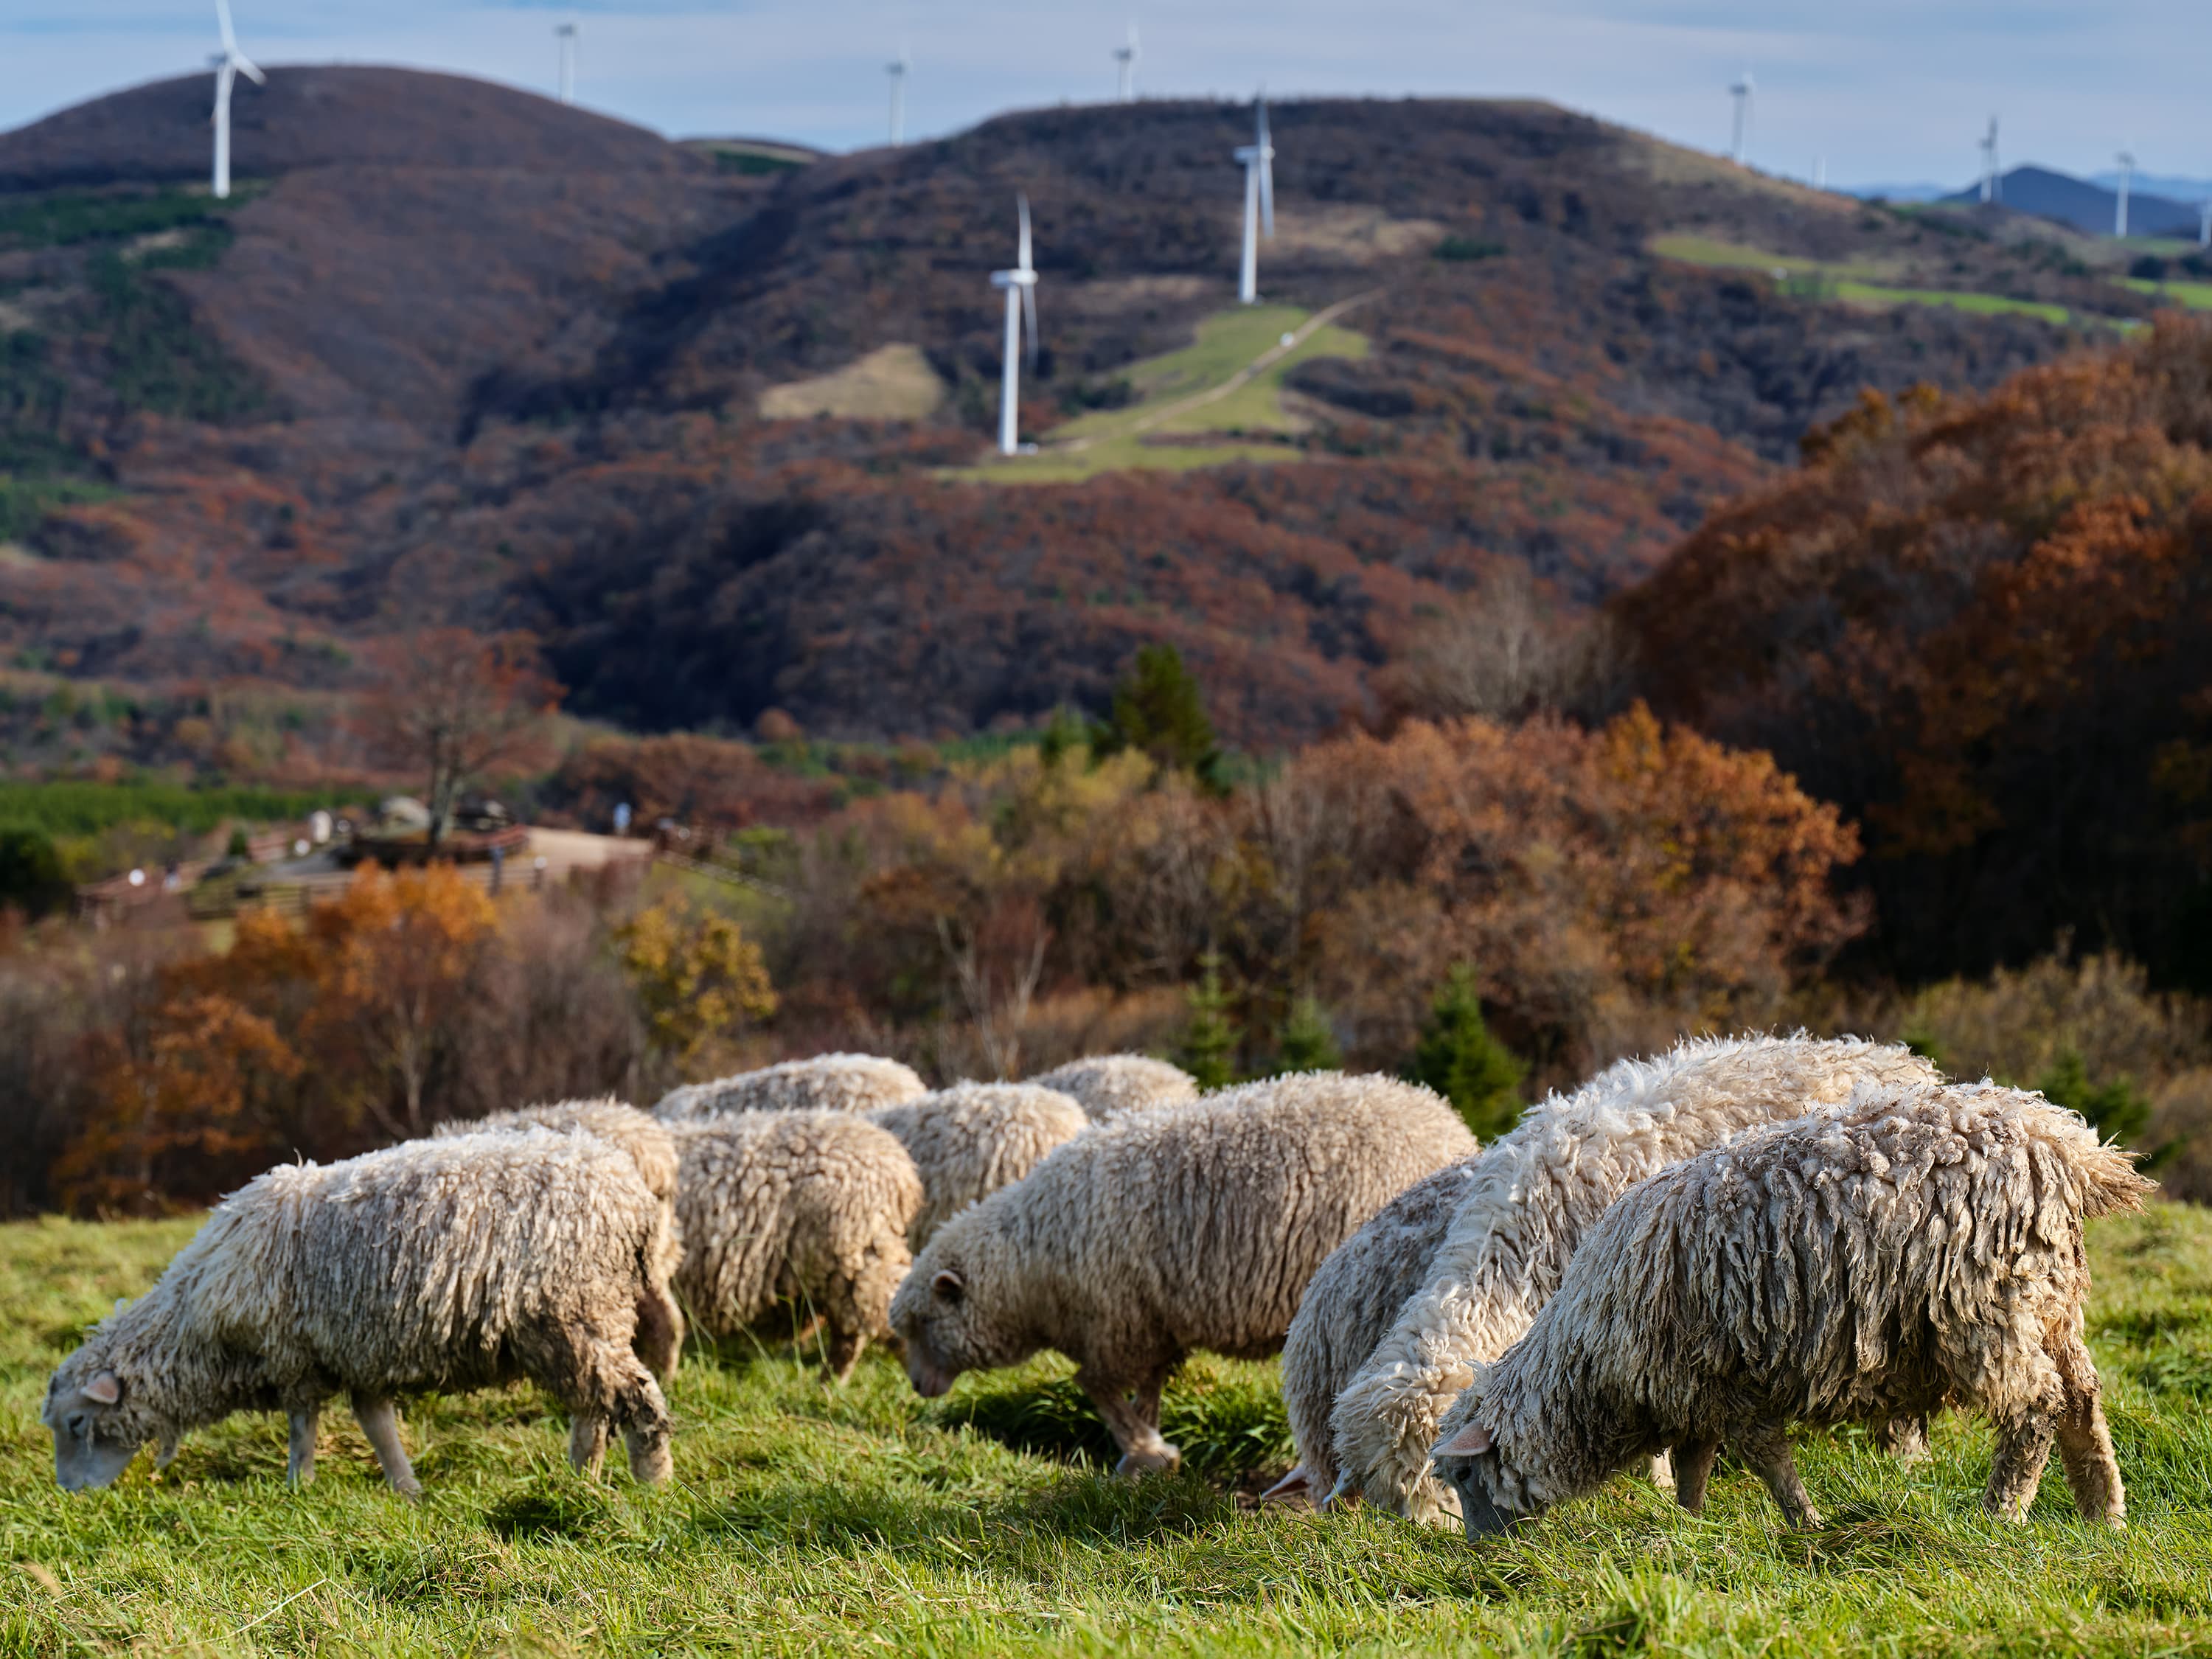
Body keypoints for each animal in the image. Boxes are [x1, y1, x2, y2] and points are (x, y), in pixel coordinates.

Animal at [43, 1130, 677, 1498]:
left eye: (77, 1422)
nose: (69, 1494)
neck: (196, 1319)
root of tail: (632, 1195)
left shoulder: (293, 1355)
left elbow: (302, 1428)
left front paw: (298, 1489)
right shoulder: (358, 1353)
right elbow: (377, 1424)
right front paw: (406, 1489)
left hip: (573, 1312)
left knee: (634, 1396)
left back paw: (650, 1482)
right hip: (582, 1323)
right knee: (593, 1406)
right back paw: (581, 1478)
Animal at [891, 1071, 1477, 1475]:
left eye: (924, 1322)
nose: (916, 1387)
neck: (1032, 1260)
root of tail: (1447, 1123)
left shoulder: (1115, 1323)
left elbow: (1096, 1387)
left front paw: (1145, 1451)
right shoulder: (1150, 1325)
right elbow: (1147, 1388)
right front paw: (1147, 1452)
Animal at [1329, 1034, 1940, 1524]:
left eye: (1441, 1478)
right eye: (1387, 1498)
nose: (1431, 1538)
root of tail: (1897, 1056)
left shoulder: (1632, 1321)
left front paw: (1659, 1484)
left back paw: (1907, 1459)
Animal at [1431, 1081, 2149, 1536]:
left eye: (1465, 1477)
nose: (1480, 1553)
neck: (1590, 1366)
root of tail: (2062, 1143)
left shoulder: (1729, 1385)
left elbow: (1768, 1462)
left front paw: (1805, 1523)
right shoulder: (1696, 1394)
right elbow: (1694, 1467)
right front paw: (1689, 1526)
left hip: (1983, 1306)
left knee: (2036, 1407)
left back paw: (2002, 1512)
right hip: (2049, 1299)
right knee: (2082, 1399)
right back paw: (2104, 1513)